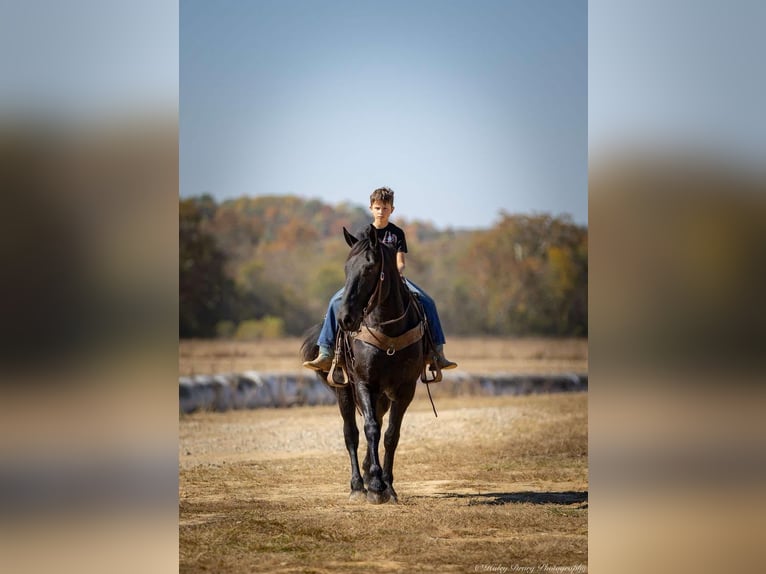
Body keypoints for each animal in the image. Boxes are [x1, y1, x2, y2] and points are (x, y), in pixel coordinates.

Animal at [304, 225, 426, 504]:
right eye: (346, 267)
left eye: (370, 268)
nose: (346, 318)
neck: (387, 329)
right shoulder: (363, 383)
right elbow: (370, 429)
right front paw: (376, 486)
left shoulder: (405, 389)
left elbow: (391, 434)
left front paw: (387, 486)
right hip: (344, 391)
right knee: (351, 433)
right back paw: (359, 485)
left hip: (381, 396)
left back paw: (371, 476)